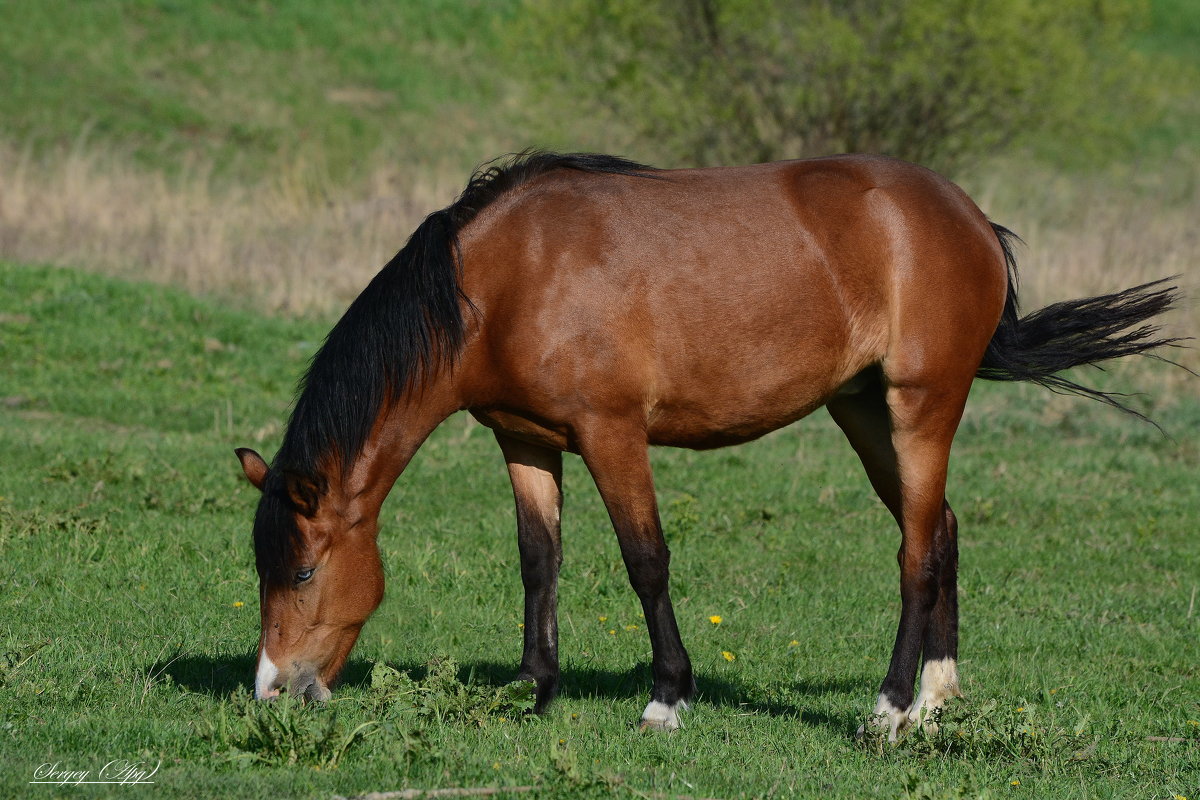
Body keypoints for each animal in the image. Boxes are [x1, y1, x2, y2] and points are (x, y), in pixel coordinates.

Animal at [234, 149, 1180, 738]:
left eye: (304, 571)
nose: (273, 689)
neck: (505, 280)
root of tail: (969, 217)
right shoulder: (525, 441)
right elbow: (539, 561)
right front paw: (533, 689)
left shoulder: (612, 433)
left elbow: (645, 561)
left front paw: (666, 699)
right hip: (862, 412)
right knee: (939, 529)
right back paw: (937, 700)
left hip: (922, 407)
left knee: (916, 552)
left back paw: (887, 709)